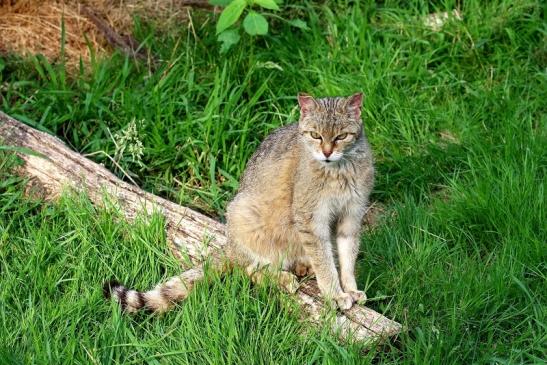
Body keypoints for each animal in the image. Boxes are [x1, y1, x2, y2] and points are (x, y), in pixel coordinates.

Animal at [104, 91, 374, 310]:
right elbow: (325, 263)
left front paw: (349, 288)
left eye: (341, 136)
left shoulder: (351, 215)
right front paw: (335, 294)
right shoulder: (310, 218)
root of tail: (230, 245)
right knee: (252, 270)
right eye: (316, 135)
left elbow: (347, 258)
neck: (340, 170)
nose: (327, 152)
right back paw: (284, 278)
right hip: (246, 218)